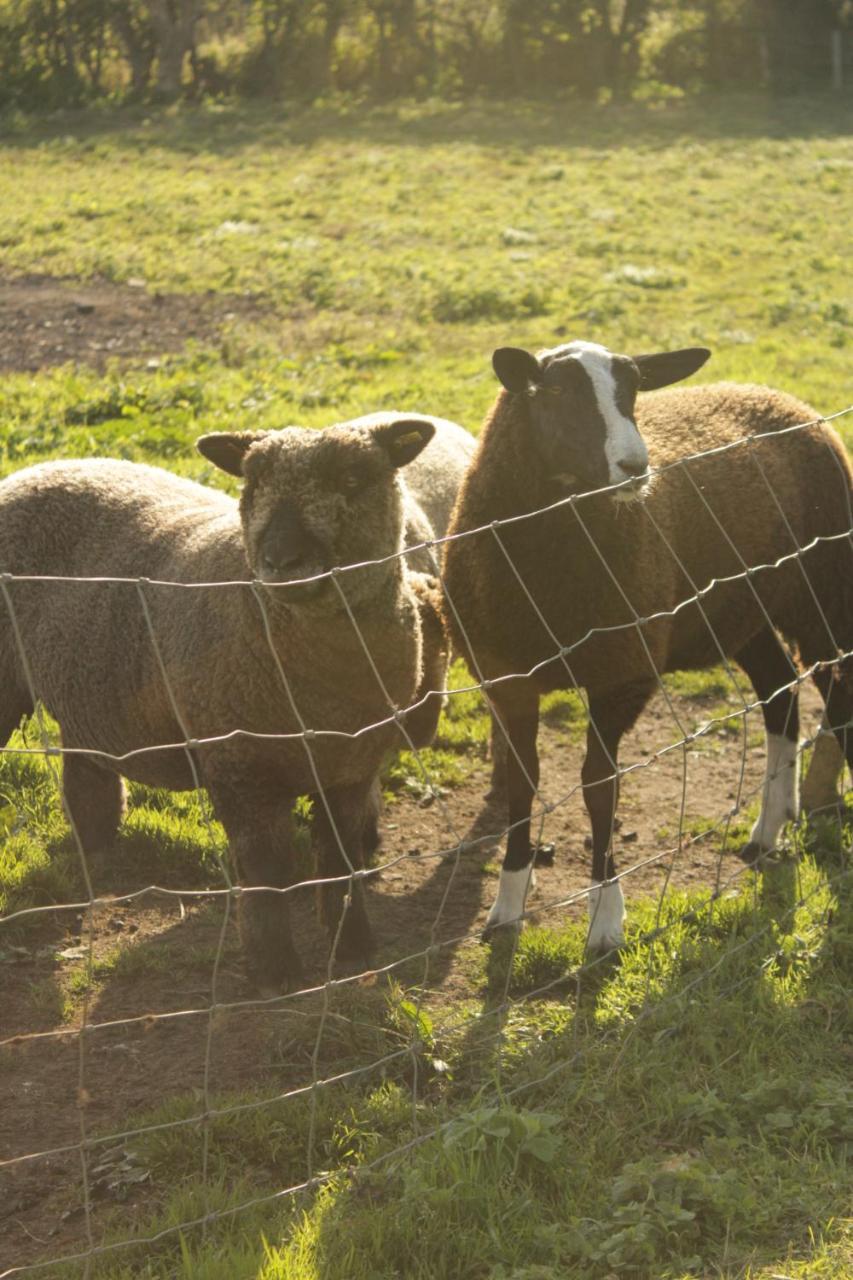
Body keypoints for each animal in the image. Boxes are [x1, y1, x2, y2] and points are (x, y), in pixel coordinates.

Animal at [0, 414, 450, 993]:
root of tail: (33, 470)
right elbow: (266, 871)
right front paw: (275, 971)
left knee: (88, 773)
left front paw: (353, 948)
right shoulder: (241, 767)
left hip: (88, 685)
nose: (280, 561)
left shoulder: (353, 767)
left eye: (352, 478)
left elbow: (341, 859)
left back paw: (93, 847)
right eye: (251, 483)